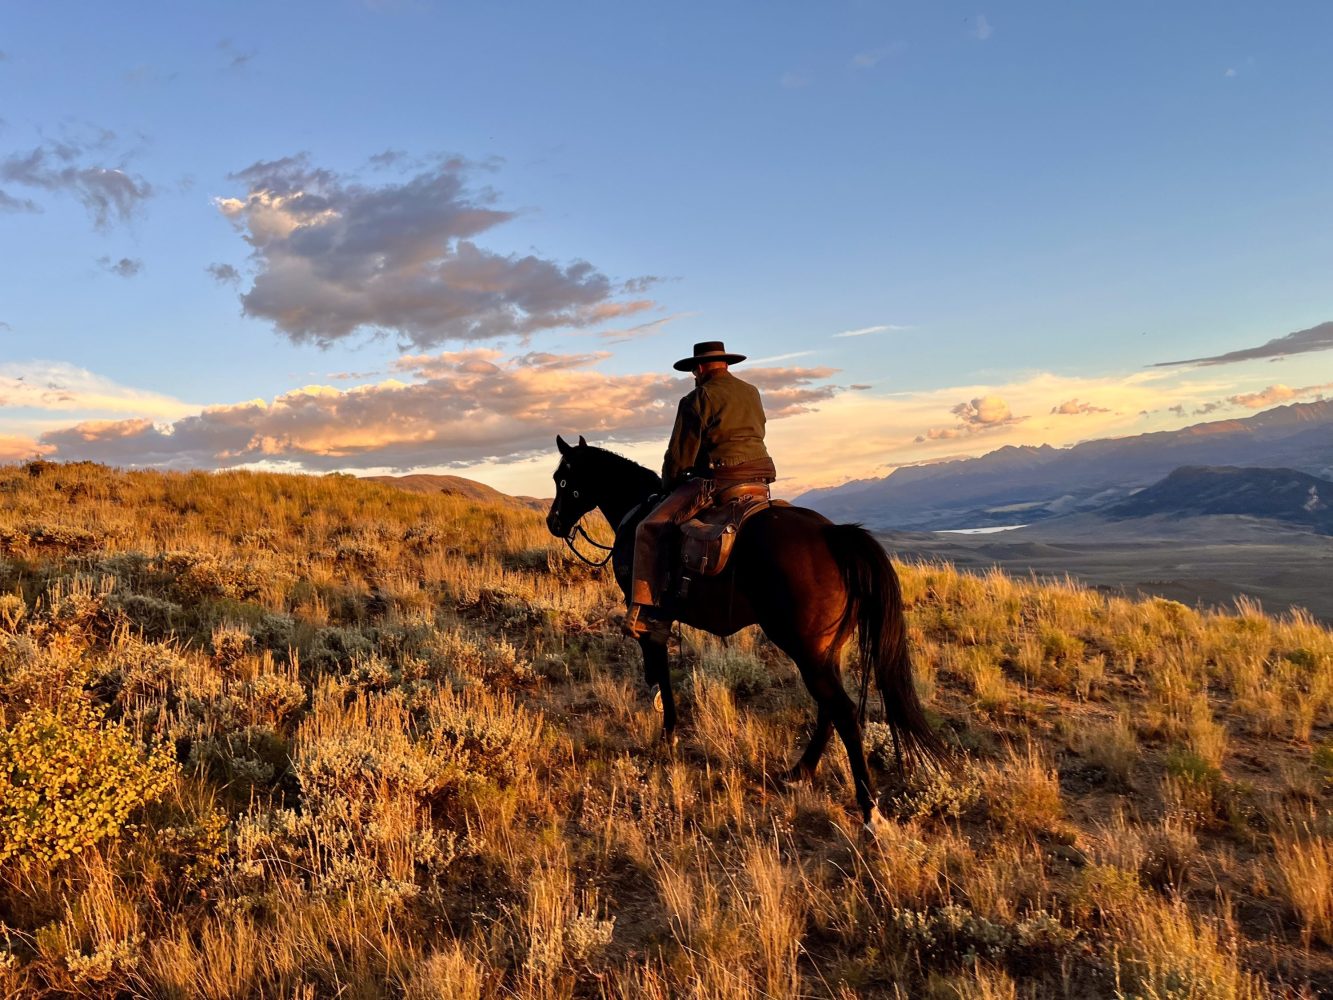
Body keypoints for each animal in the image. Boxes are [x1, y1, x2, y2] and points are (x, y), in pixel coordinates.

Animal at [538, 434, 938, 826]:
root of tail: (833, 534)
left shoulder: (651, 614)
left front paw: (667, 733)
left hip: (805, 650)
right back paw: (799, 773)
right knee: (831, 709)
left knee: (842, 712)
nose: (553, 523)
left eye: (563, 480)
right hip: (825, 650)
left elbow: (659, 667)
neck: (635, 508)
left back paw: (868, 811)